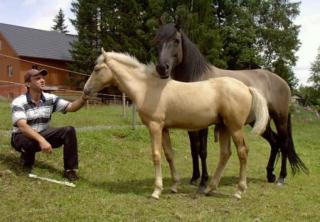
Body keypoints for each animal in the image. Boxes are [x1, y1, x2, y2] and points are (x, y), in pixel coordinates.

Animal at [84, 49, 268, 199]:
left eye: (96, 69)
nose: (86, 90)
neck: (147, 88)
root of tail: (246, 87)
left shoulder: (155, 126)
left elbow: (156, 155)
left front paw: (157, 190)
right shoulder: (164, 128)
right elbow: (169, 155)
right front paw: (174, 186)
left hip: (235, 127)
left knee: (242, 152)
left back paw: (239, 191)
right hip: (224, 126)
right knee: (225, 154)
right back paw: (210, 188)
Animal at [154, 22, 308, 189]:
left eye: (176, 40)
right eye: (157, 40)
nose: (162, 68)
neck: (197, 79)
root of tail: (283, 82)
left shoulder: (204, 125)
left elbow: (202, 151)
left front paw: (204, 180)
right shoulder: (191, 125)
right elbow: (194, 150)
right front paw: (195, 177)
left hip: (280, 119)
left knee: (284, 143)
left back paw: (281, 178)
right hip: (260, 122)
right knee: (275, 142)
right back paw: (270, 175)